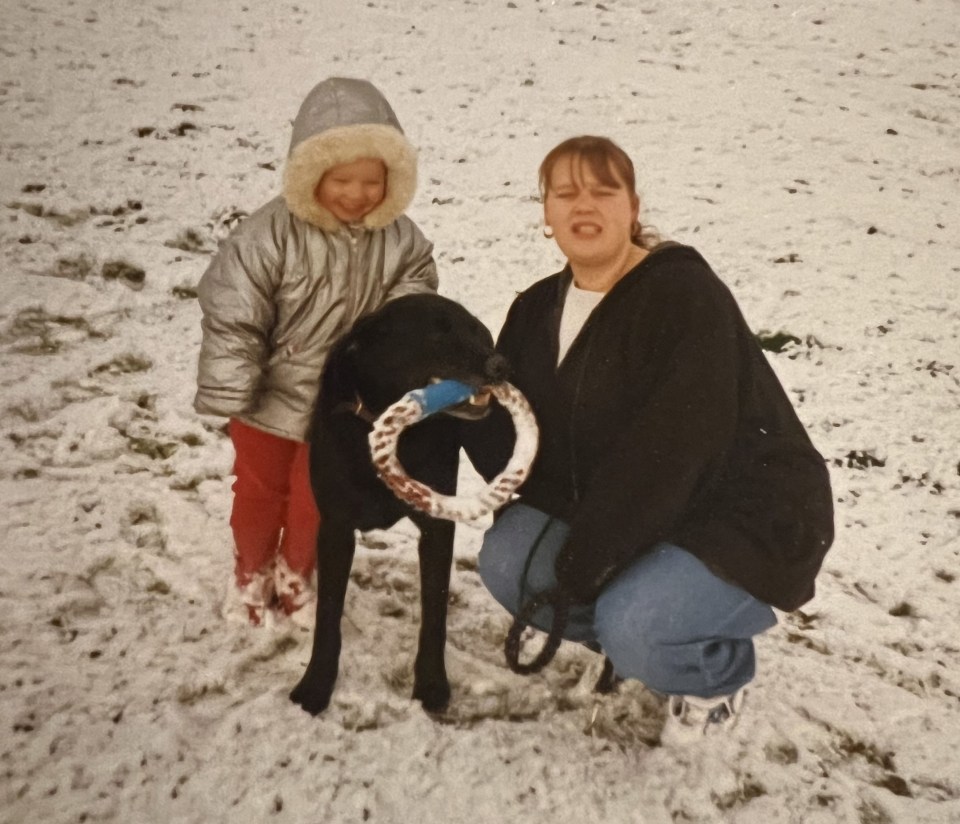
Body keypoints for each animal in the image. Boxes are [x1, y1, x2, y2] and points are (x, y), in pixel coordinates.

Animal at [290, 294, 510, 716]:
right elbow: (328, 612)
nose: (499, 365)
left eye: (478, 331)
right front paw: (316, 684)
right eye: (437, 332)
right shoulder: (335, 527)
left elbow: (435, 612)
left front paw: (432, 684)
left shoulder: (437, 525)